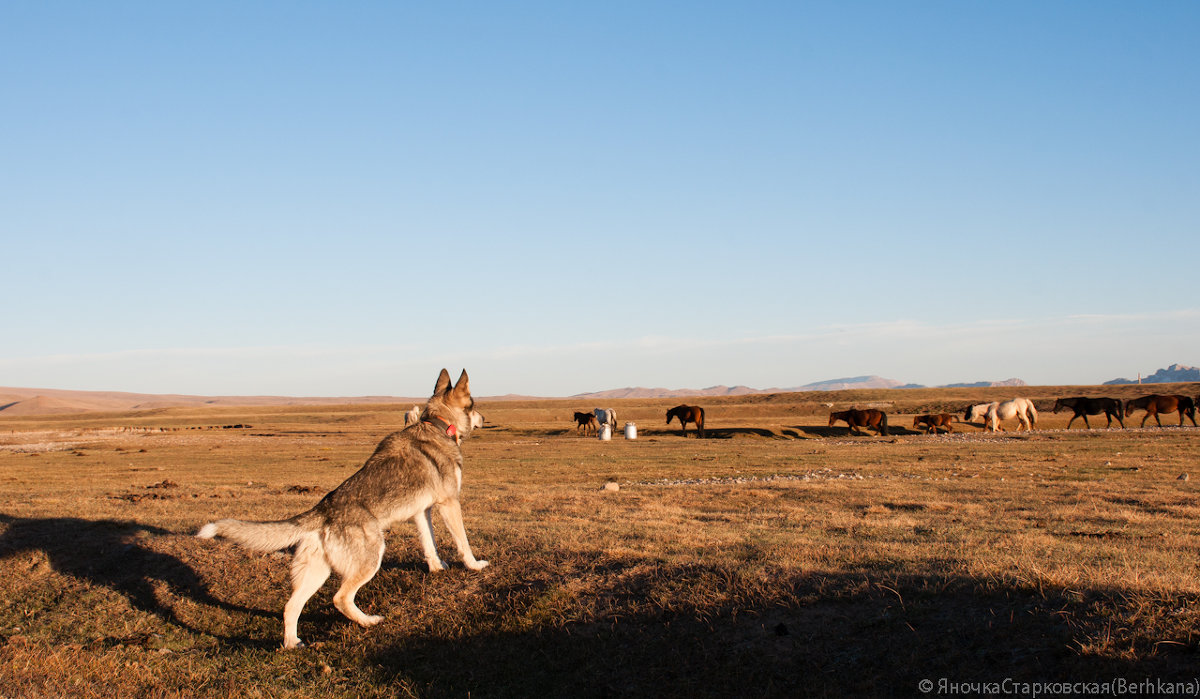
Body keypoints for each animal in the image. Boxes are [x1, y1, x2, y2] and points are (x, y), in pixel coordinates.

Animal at [196, 369, 487, 648]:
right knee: (340, 598)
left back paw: (293, 644)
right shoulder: (449, 502)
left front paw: (437, 569)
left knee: (291, 607)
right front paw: (474, 566)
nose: (484, 418)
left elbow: (430, 545)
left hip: (317, 572)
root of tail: (321, 512)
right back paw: (369, 621)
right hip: (371, 557)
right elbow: (462, 542)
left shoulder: (421, 511)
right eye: (473, 405)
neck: (438, 425)